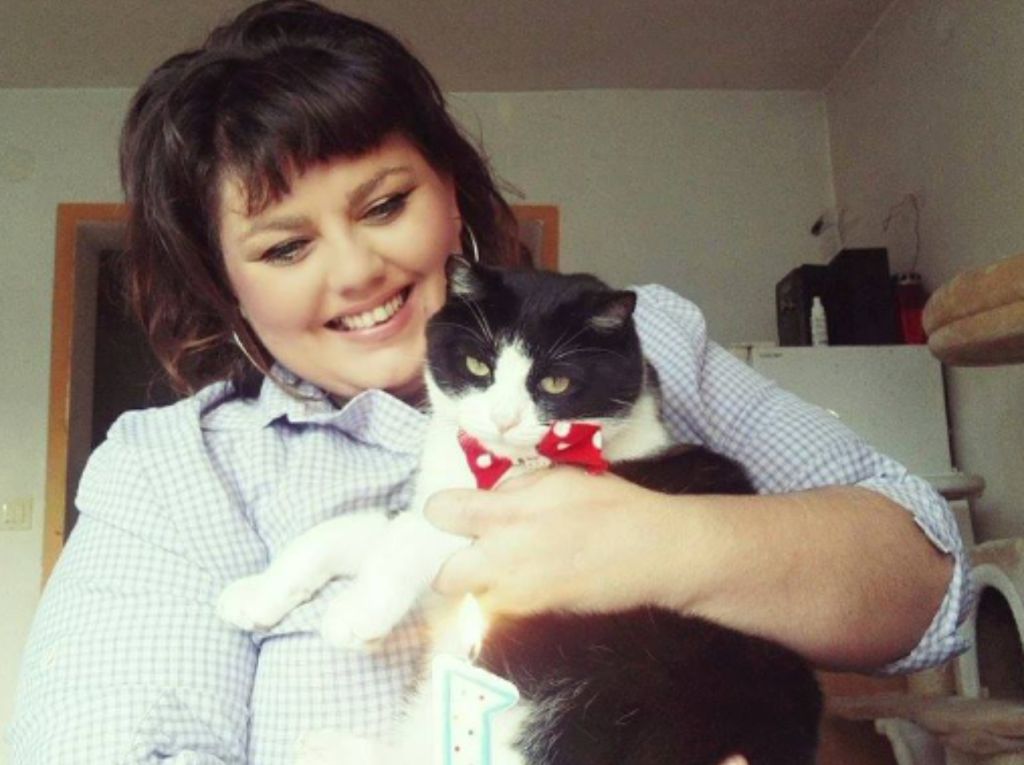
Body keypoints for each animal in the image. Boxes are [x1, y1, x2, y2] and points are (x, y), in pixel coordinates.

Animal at [217, 258, 822, 765]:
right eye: (477, 364)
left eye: (555, 380)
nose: (504, 417)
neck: (492, 470)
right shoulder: (437, 494)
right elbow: (350, 530)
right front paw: (254, 595)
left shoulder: (520, 525)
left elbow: (410, 539)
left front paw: (356, 612)